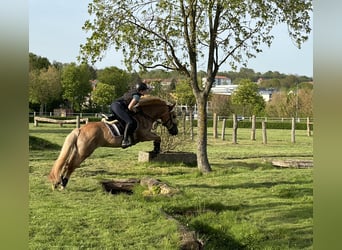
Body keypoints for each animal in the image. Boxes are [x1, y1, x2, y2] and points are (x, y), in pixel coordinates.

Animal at [48, 96, 179, 189]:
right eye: (174, 115)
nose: (175, 131)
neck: (145, 115)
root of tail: (80, 129)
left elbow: (157, 138)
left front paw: (155, 150)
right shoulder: (144, 135)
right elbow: (158, 138)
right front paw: (155, 150)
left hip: (78, 150)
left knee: (67, 164)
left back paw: (60, 182)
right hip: (84, 151)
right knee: (71, 165)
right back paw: (63, 184)